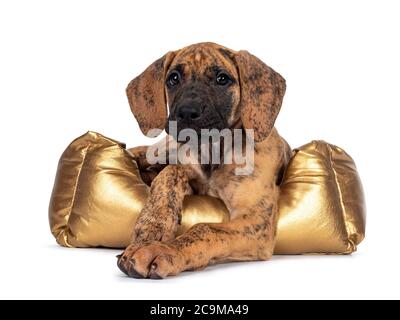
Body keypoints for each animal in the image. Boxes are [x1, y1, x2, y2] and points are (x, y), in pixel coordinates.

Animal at [115, 42, 290, 278]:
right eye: (174, 78)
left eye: (222, 79)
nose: (187, 112)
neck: (213, 152)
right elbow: (172, 172)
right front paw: (153, 225)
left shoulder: (256, 221)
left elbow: (205, 228)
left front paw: (161, 250)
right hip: (166, 147)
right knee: (145, 153)